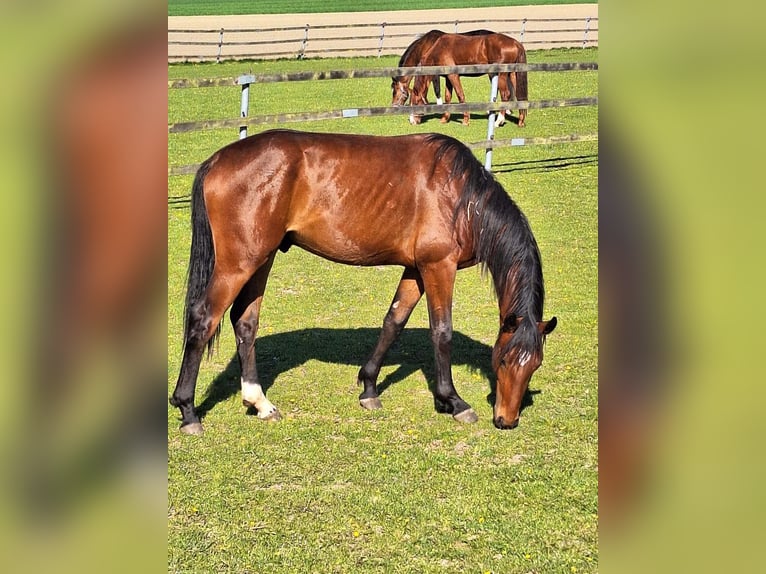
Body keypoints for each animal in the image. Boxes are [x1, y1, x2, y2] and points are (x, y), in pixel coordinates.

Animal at [169, 129, 556, 436]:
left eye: (535, 365)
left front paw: (369, 388)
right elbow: (441, 331)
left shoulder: (415, 269)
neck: (461, 197)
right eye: (503, 361)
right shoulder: (438, 267)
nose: (507, 420)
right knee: (204, 320)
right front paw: (453, 401)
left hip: (261, 259)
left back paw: (260, 402)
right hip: (239, 264)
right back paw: (188, 411)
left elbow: (393, 322)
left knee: (245, 322)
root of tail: (216, 161)